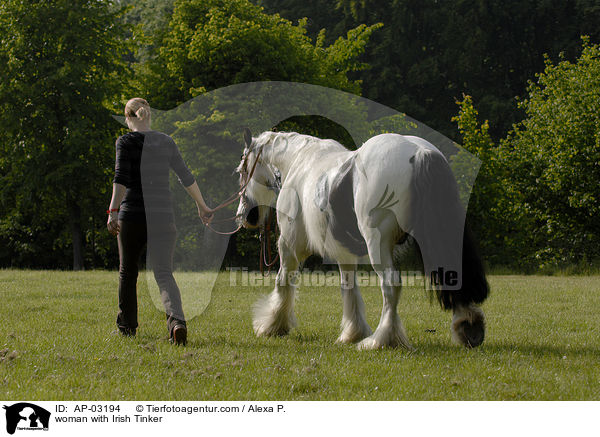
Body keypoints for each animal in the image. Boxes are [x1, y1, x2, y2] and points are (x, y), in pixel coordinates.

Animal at [234, 127, 488, 350]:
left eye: (242, 170)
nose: (244, 215)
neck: (298, 161)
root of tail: (420, 153)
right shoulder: (343, 253)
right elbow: (349, 287)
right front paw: (352, 333)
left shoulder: (289, 247)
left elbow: (283, 281)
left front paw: (273, 325)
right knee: (453, 275)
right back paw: (469, 327)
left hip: (378, 244)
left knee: (391, 285)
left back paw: (381, 339)